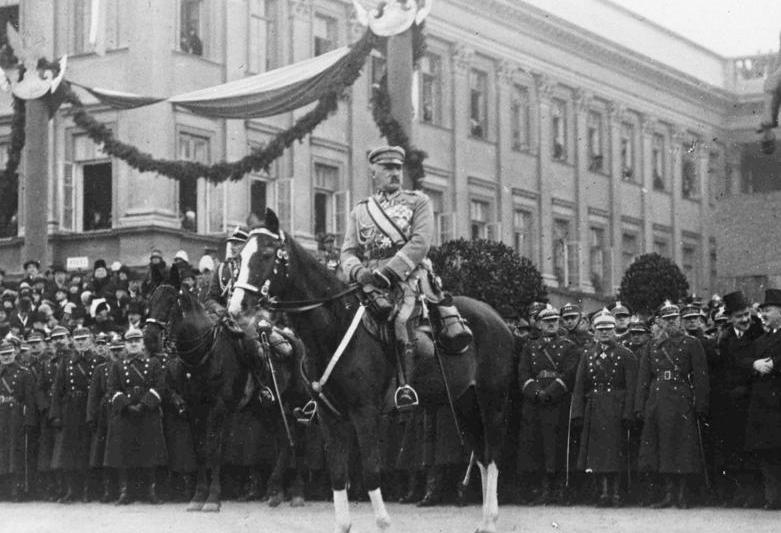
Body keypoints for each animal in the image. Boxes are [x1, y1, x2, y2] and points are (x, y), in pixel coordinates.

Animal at [227, 209, 512, 532]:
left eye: (265, 254)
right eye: (240, 257)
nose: (236, 307)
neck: (334, 326)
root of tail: (497, 318)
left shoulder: (365, 413)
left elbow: (372, 472)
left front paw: (384, 523)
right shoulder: (330, 417)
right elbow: (339, 476)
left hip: (492, 402)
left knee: (493, 455)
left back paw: (490, 519)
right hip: (464, 403)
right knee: (482, 456)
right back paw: (486, 520)